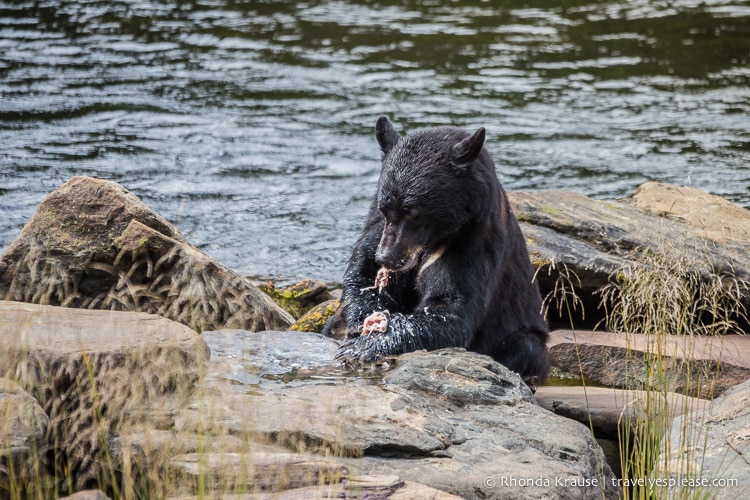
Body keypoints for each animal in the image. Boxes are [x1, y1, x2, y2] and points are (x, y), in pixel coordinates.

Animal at [324, 117, 552, 386]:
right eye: (385, 208)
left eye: (412, 211)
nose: (387, 258)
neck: (434, 239)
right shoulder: (379, 228)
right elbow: (364, 273)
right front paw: (363, 322)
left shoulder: (473, 243)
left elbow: (449, 309)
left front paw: (365, 345)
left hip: (524, 336)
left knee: (525, 347)